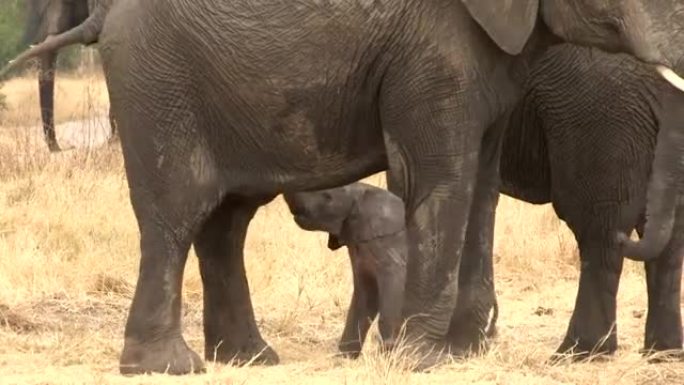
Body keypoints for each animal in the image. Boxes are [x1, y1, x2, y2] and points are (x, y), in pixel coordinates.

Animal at [282, 183, 406, 356]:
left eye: (328, 197)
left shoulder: (388, 244)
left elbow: (393, 282)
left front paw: (387, 352)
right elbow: (366, 293)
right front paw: (344, 356)